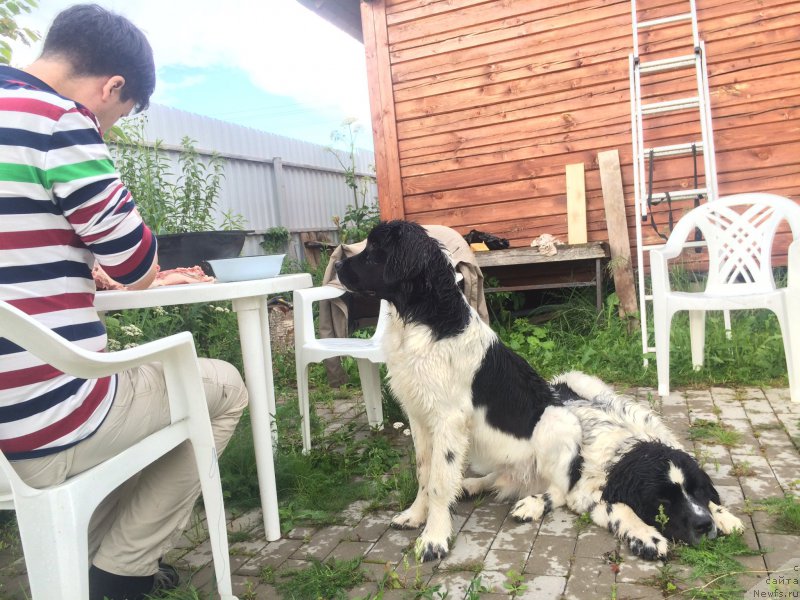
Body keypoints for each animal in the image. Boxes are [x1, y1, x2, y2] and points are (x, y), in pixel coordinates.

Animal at [332, 220, 744, 564]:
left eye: (374, 251)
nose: (336, 266)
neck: (425, 321)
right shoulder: (419, 416)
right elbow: (424, 472)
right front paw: (415, 516)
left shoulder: (448, 419)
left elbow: (438, 481)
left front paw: (434, 538)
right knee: (500, 479)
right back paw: (474, 486)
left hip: (557, 423)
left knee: (558, 490)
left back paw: (530, 502)